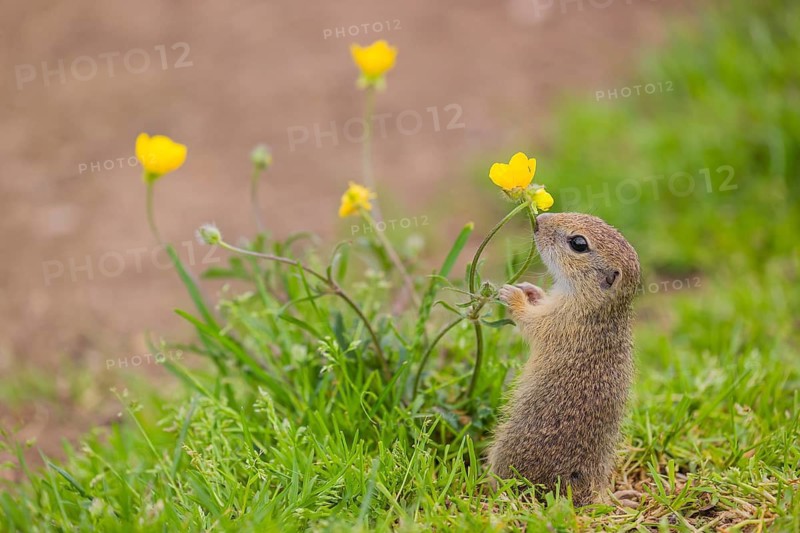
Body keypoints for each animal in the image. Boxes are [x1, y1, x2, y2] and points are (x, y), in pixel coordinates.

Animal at [486, 212, 641, 506]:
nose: (538, 221)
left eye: (578, 243)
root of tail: (593, 492)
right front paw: (530, 290)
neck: (597, 306)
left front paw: (514, 296)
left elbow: (532, 323)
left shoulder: (562, 322)